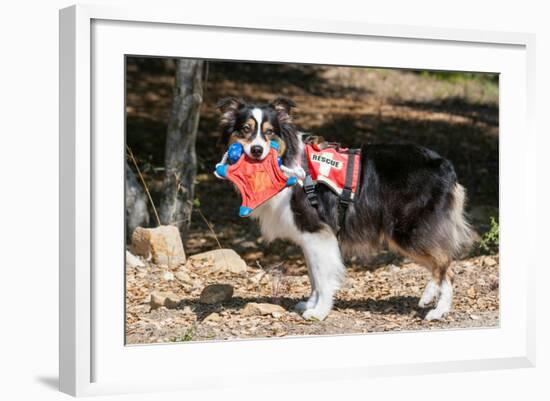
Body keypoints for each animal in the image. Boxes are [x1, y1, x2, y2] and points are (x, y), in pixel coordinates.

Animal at [218, 97, 476, 322]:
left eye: (270, 132)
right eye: (245, 129)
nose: (257, 150)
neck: (288, 160)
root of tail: (445, 165)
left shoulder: (317, 232)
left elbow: (323, 278)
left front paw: (319, 312)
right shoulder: (310, 237)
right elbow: (313, 276)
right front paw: (311, 304)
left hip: (409, 230)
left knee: (446, 267)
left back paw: (439, 311)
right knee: (440, 264)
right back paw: (429, 296)